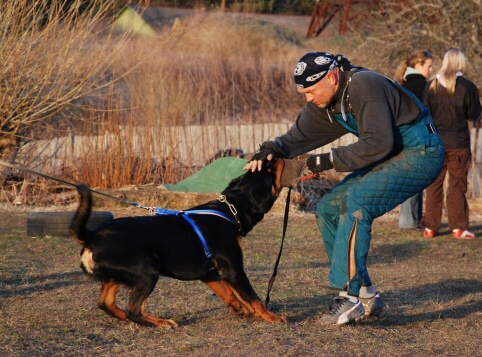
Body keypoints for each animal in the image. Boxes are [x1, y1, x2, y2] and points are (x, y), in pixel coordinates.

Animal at [68, 157, 302, 326]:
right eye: (269, 171)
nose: (272, 157)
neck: (230, 210)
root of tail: (92, 236)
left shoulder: (209, 272)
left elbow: (227, 292)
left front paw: (240, 309)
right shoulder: (233, 269)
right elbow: (253, 297)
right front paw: (271, 317)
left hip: (118, 275)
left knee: (106, 303)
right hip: (147, 269)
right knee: (133, 310)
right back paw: (161, 323)